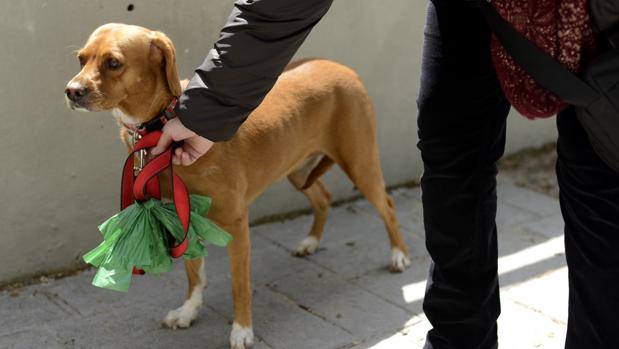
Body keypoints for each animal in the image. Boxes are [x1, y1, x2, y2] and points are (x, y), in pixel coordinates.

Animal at [65, 23, 410, 346]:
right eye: (81, 59)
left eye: (113, 62)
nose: (71, 91)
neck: (161, 125)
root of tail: (342, 67)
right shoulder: (181, 218)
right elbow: (193, 274)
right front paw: (189, 311)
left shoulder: (236, 225)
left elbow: (238, 286)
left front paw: (242, 331)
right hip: (298, 171)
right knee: (323, 197)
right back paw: (311, 242)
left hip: (360, 164)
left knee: (388, 205)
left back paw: (399, 255)